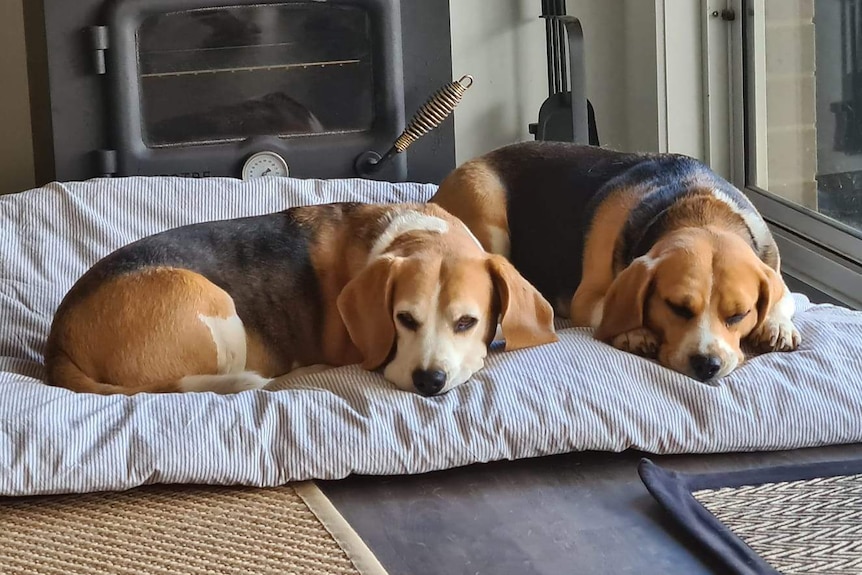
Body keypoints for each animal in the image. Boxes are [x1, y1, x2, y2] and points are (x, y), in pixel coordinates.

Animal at [45, 201, 560, 396]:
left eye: (466, 322)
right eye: (404, 319)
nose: (428, 381)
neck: (415, 233)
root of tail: (57, 343)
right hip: (214, 306)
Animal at [432, 141, 804, 382]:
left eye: (739, 315)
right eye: (677, 307)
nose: (706, 364)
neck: (696, 204)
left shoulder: (773, 269)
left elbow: (785, 298)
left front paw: (777, 326)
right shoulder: (586, 299)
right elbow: (611, 308)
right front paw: (634, 332)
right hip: (486, 207)